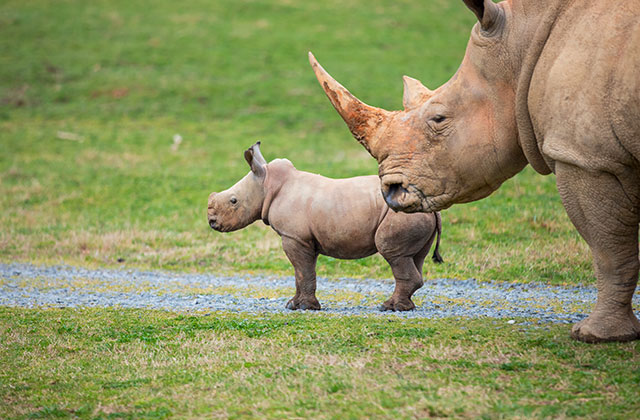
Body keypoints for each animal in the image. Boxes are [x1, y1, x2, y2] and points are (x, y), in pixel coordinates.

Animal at [207, 142, 443, 311]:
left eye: (234, 201)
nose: (211, 222)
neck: (267, 185)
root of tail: (430, 207)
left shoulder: (294, 237)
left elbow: (303, 271)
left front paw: (303, 307)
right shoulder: (303, 239)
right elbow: (301, 273)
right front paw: (293, 305)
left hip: (402, 215)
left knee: (392, 253)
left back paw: (389, 308)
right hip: (416, 214)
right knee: (414, 257)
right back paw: (405, 307)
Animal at [309, 0, 640, 342]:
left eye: (439, 119)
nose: (390, 190)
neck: (521, 44)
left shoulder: (587, 158)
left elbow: (607, 246)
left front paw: (596, 335)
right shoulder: (594, 154)